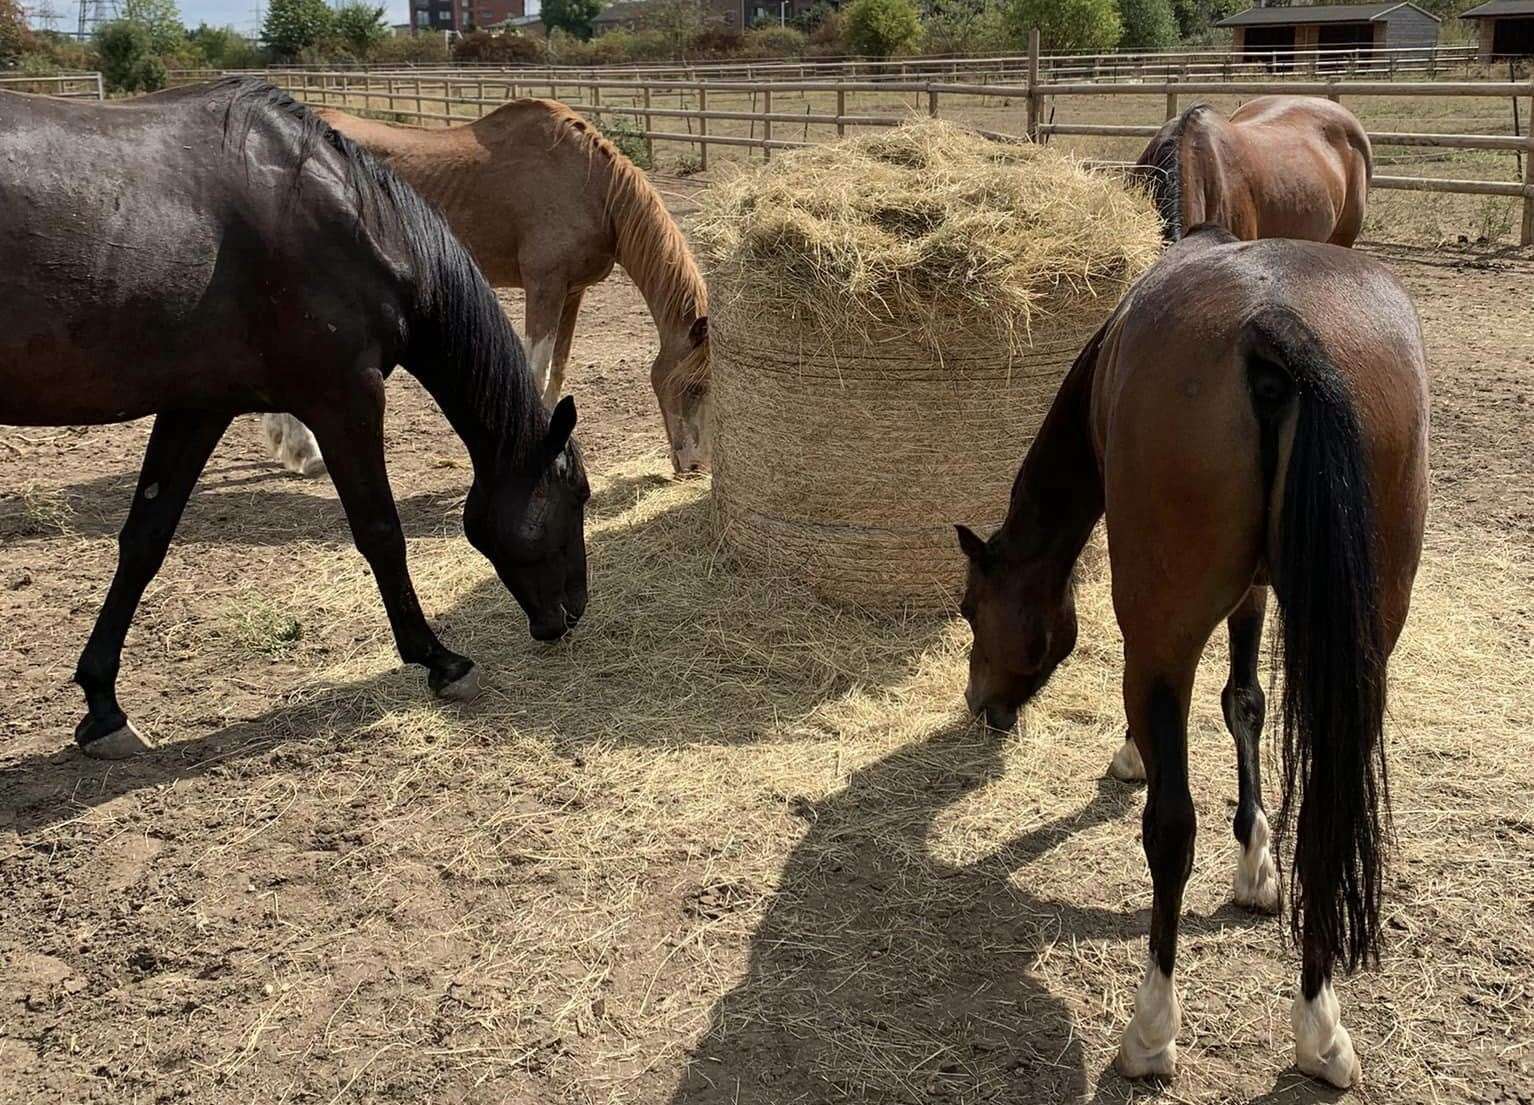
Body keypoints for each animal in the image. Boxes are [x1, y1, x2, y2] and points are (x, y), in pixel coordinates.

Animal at [0, 79, 589, 761]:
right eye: (578, 495)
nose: (574, 610)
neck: (348, 223)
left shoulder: (198, 406)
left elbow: (144, 540)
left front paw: (102, 706)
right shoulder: (345, 398)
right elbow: (381, 533)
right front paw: (440, 661)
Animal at [263, 102, 711, 478]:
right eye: (693, 387)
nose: (694, 466)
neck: (588, 185)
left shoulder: (572, 292)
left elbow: (558, 370)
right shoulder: (544, 284)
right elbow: (536, 370)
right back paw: (306, 454)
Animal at [951, 224, 1429, 1086]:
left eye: (973, 607)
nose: (982, 704)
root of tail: (1275, 327)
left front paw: (1130, 755)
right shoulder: (1256, 594)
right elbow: (1245, 702)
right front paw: (1256, 861)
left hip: (1164, 637)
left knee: (1170, 828)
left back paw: (1151, 1028)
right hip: (1364, 651)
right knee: (1324, 820)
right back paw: (1320, 1026)